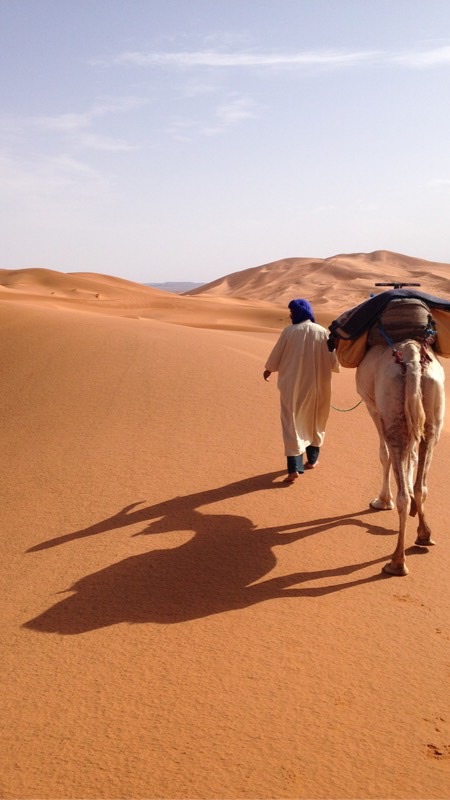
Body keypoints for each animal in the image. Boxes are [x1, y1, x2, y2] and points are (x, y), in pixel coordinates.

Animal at [356, 334, 446, 580]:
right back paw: (424, 534)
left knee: (402, 496)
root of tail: (412, 356)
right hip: (433, 411)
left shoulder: (373, 408)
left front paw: (381, 501)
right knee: (421, 484)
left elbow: (383, 454)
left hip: (391, 408)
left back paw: (396, 563)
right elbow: (411, 457)